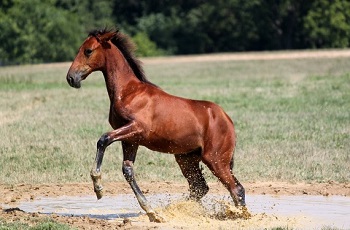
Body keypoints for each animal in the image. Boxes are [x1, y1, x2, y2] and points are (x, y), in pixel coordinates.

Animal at [66, 28, 246, 223]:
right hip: (186, 159)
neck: (129, 92)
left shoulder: (137, 129)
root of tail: (227, 120)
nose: (71, 78)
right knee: (200, 187)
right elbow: (127, 169)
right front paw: (152, 212)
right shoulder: (130, 140)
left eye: (88, 51)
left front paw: (98, 185)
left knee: (236, 188)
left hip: (215, 160)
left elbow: (103, 139)